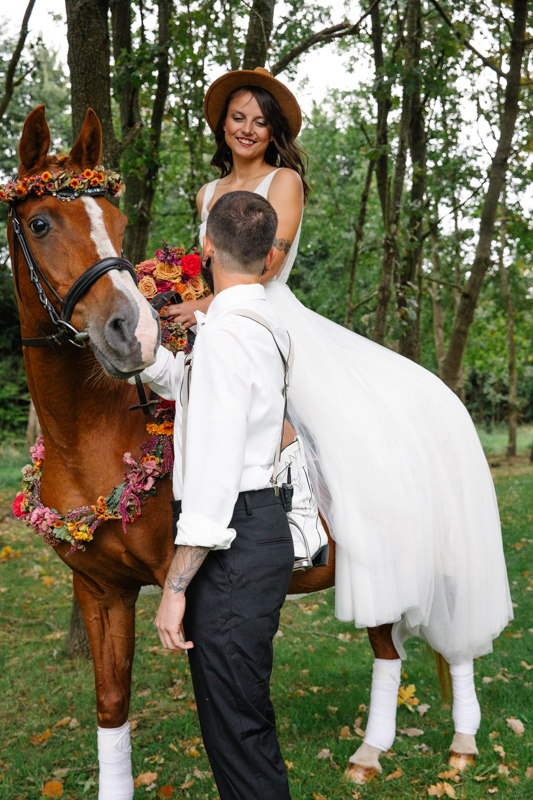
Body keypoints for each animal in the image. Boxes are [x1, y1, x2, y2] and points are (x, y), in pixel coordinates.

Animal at [8, 104, 484, 792]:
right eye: (41, 223)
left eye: (118, 224)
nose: (133, 334)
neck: (94, 433)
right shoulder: (101, 592)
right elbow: (111, 706)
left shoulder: (183, 591)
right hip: (381, 568)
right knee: (387, 646)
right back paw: (370, 754)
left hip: (442, 560)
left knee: (457, 637)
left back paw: (463, 742)